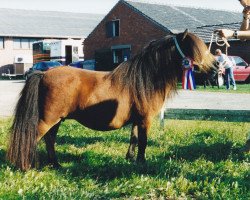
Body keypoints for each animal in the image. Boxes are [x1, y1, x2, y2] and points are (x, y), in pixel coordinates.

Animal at [7, 30, 215, 171]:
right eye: (194, 50)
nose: (216, 70)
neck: (143, 79)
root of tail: (43, 73)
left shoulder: (137, 120)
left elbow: (134, 139)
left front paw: (130, 158)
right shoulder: (145, 119)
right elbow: (143, 141)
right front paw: (142, 162)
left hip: (57, 120)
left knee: (50, 140)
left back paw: (56, 164)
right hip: (47, 120)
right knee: (33, 137)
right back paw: (25, 166)